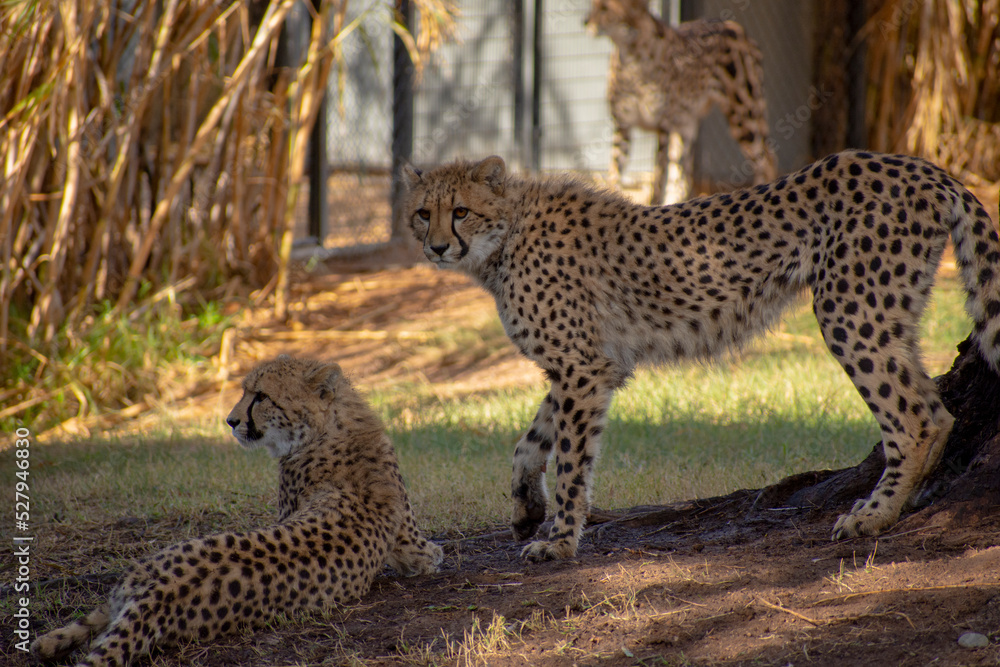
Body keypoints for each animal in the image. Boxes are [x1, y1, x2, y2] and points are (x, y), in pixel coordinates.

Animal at [32, 355, 442, 666]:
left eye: (260, 396)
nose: (230, 421)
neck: (331, 427)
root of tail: (159, 593)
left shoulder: (412, 548)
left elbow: (433, 555)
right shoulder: (413, 546)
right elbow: (435, 554)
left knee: (100, 617)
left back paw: (45, 643)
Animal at [401, 150, 1000, 561]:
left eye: (460, 211)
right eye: (422, 214)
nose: (436, 247)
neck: (505, 235)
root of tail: (921, 166)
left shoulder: (582, 369)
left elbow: (571, 460)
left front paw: (561, 541)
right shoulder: (594, 367)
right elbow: (529, 441)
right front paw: (527, 509)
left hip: (851, 313)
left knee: (917, 417)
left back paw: (874, 516)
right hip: (891, 317)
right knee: (936, 407)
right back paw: (905, 497)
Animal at [586, 0, 777, 205]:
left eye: (605, 8)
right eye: (593, 5)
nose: (586, 21)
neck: (631, 54)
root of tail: (737, 27)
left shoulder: (662, 128)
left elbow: (658, 177)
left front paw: (651, 205)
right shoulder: (623, 126)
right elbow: (615, 171)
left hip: (743, 116)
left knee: (766, 159)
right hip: (687, 125)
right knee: (683, 176)